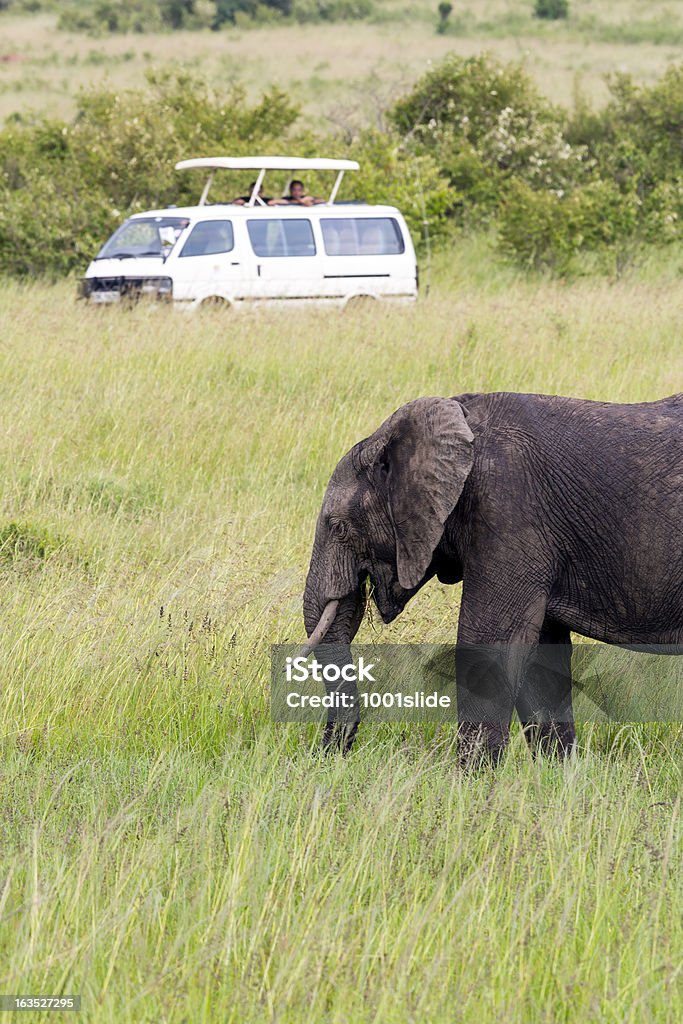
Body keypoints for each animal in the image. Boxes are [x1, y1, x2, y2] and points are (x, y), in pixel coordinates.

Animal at [305, 391, 683, 761]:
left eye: (338, 527)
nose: (327, 759)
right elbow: (543, 659)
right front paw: (556, 774)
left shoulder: (509, 513)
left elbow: (488, 646)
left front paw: (471, 777)